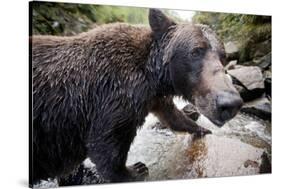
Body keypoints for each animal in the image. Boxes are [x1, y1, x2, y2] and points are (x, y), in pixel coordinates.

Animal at [30, 8, 241, 185]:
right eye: (196, 51)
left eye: (223, 56)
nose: (230, 103)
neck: (152, 74)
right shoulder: (113, 94)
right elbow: (106, 145)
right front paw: (135, 169)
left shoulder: (153, 97)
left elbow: (173, 116)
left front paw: (201, 129)